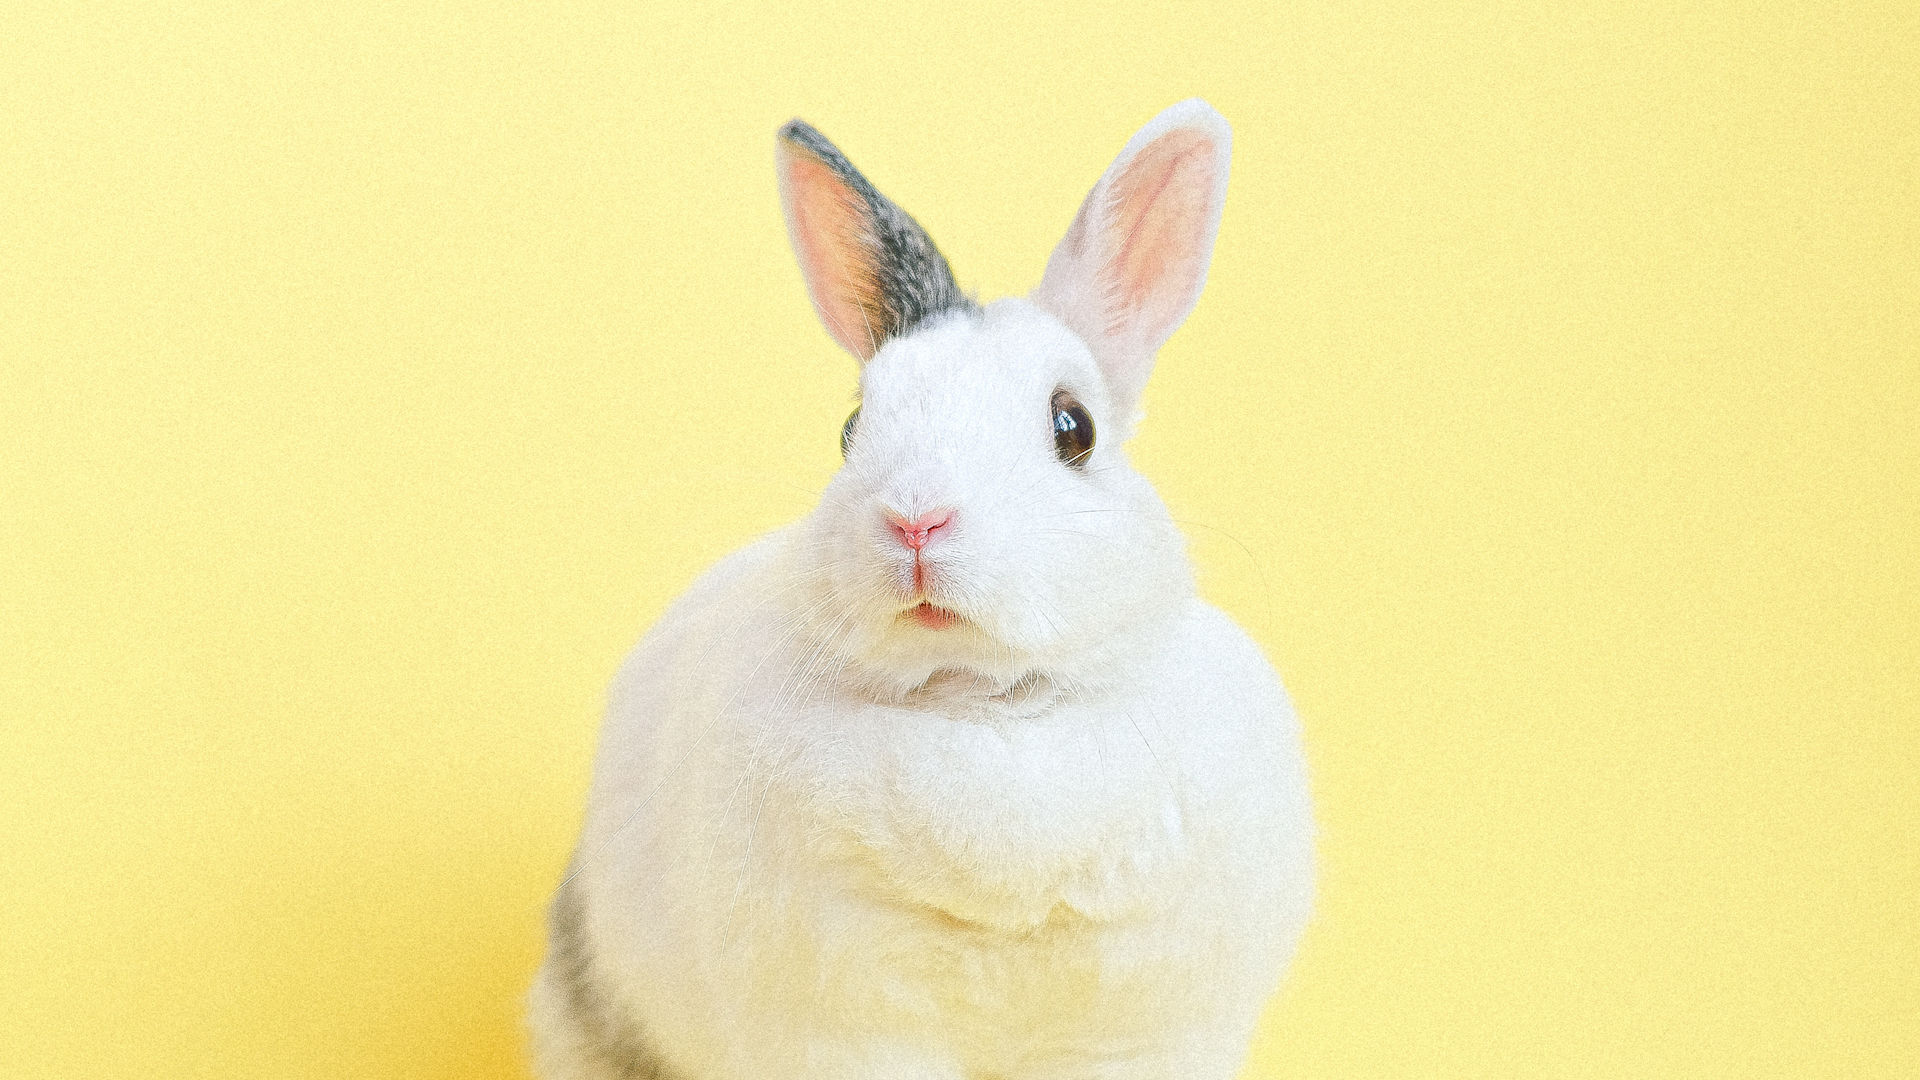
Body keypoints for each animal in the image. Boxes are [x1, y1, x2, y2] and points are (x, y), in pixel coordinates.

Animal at [529, 99, 1314, 1080]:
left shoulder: (1144, 1029)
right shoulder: (846, 1026)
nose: (916, 521)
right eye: (850, 427)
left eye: (1074, 427)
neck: (980, 703)